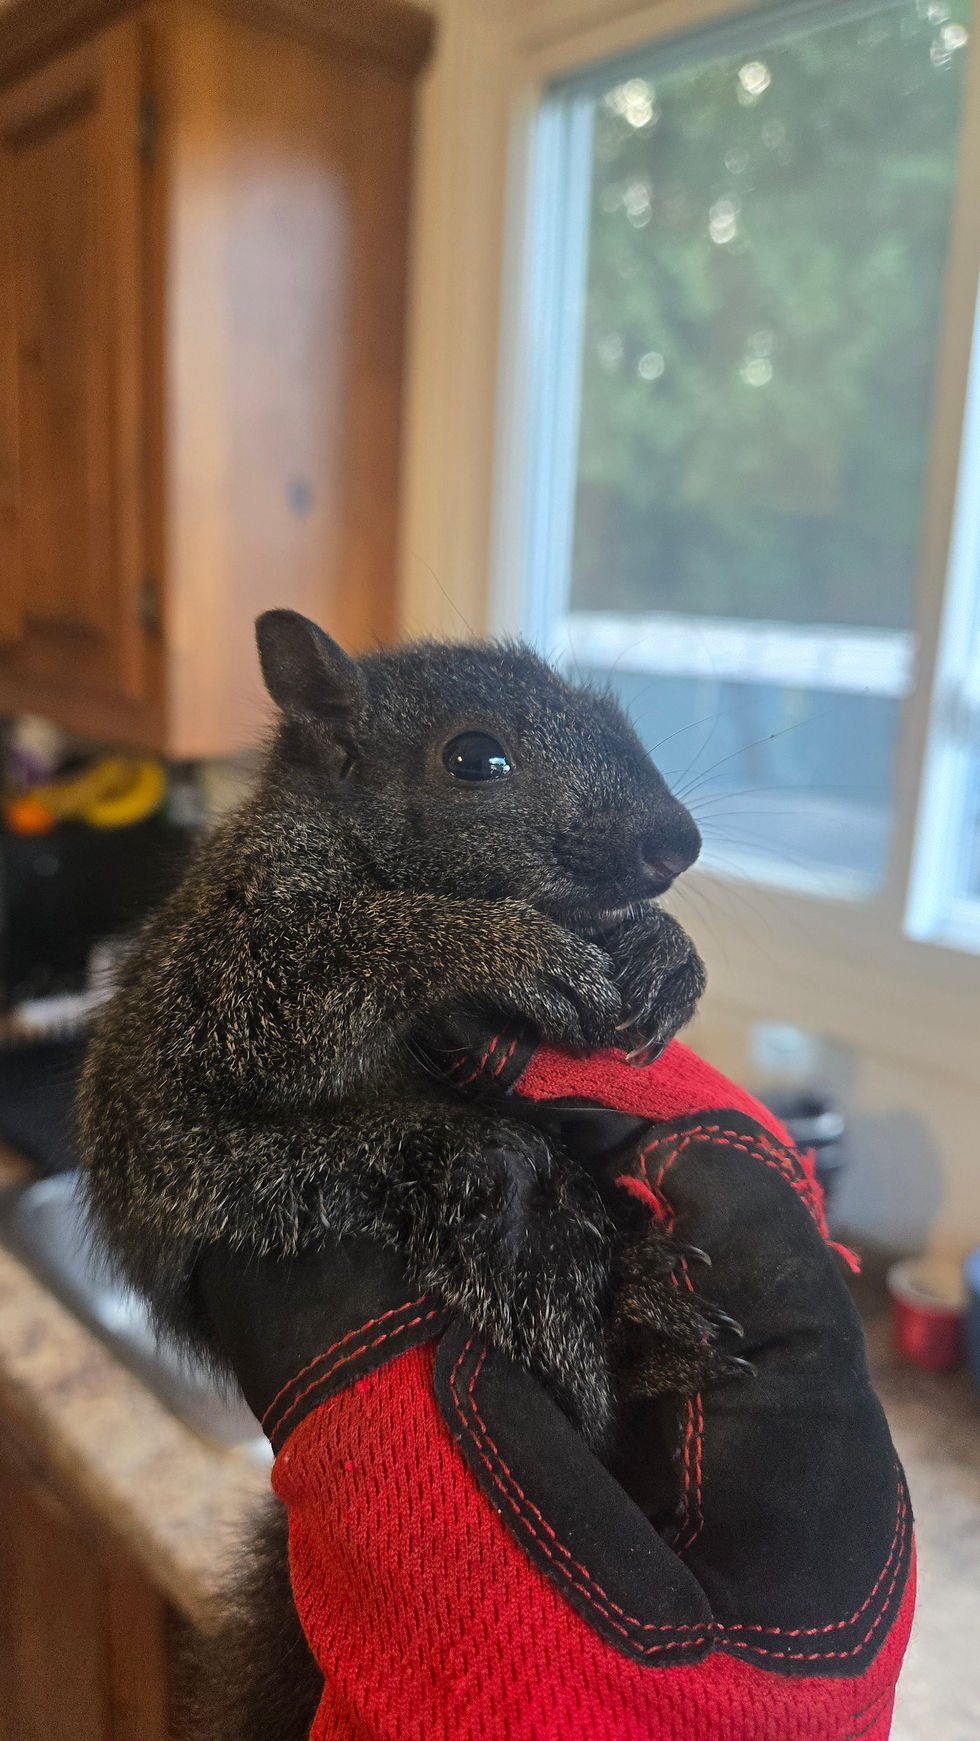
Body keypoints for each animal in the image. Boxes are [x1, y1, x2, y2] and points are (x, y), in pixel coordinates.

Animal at [78, 610, 717, 1738]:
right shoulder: (227, 975)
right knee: (492, 1185)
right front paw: (488, 945)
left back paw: (646, 1312)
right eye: (475, 760)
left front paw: (666, 952)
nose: (674, 842)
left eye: (612, 712)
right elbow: (299, 997)